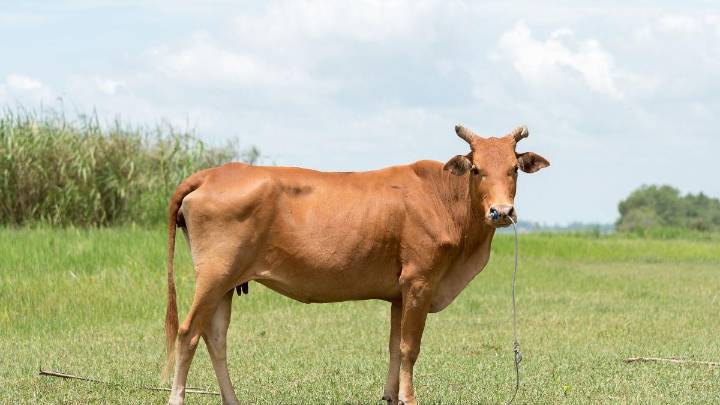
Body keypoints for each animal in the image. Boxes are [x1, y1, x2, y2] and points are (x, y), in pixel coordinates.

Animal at [163, 125, 549, 405]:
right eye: (477, 170)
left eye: (513, 169)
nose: (501, 212)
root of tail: (213, 174)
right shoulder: (420, 281)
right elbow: (410, 348)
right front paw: (409, 399)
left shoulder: (399, 293)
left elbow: (395, 346)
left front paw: (391, 396)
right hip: (214, 276)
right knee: (188, 333)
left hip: (226, 283)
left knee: (215, 337)